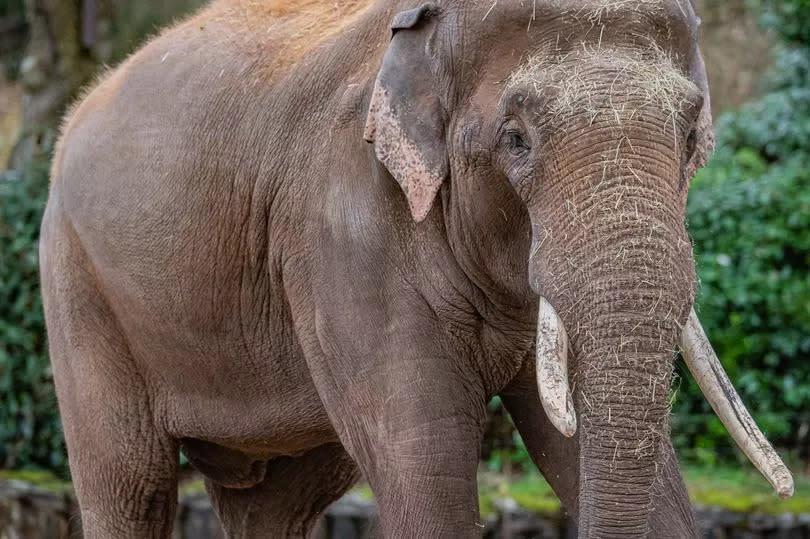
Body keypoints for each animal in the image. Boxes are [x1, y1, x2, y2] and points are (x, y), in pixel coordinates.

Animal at [39, 0, 788, 536]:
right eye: (515, 139)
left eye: (690, 135)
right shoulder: (342, 227)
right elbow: (424, 466)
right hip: (76, 283)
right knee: (130, 483)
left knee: (277, 501)